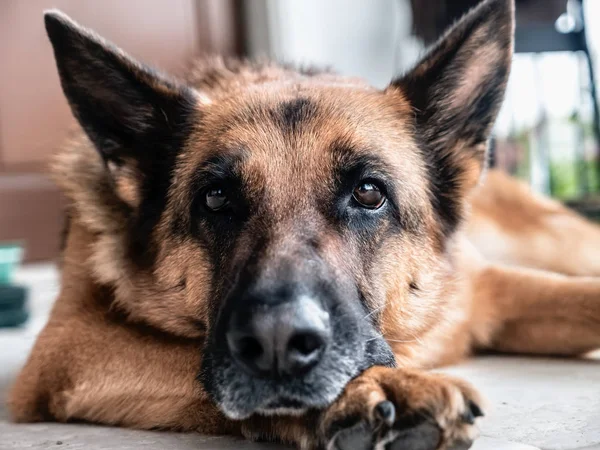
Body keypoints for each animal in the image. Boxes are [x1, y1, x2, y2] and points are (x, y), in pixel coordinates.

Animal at [8, 0, 600, 448]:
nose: (276, 340)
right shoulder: (72, 345)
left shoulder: (493, 288)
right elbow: (191, 362)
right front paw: (373, 389)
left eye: (369, 193)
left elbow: (583, 297)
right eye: (216, 198)